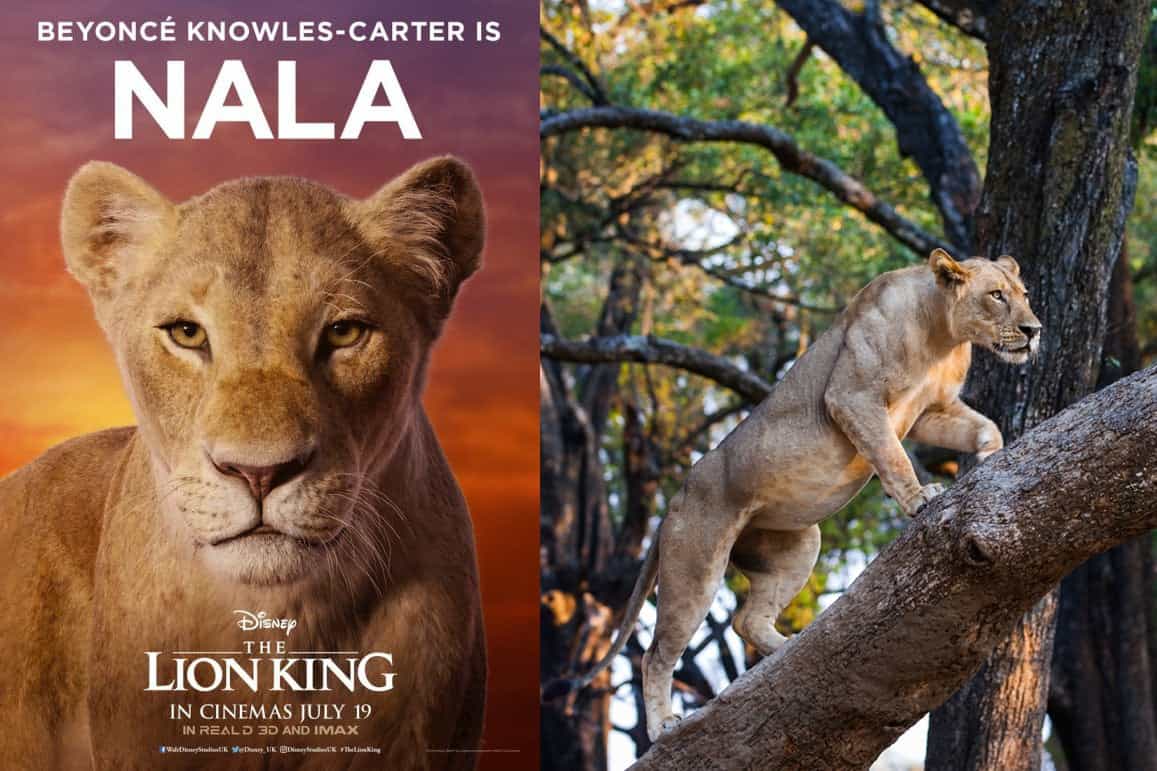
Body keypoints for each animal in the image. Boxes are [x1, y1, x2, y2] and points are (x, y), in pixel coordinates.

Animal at [550, 249, 1042, 741]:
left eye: (1024, 295)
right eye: (996, 295)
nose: (1034, 330)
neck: (942, 335)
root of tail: (676, 498)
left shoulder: (930, 412)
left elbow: (984, 427)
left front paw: (992, 458)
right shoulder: (852, 397)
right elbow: (892, 456)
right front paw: (920, 497)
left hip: (799, 544)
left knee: (745, 620)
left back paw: (788, 648)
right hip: (695, 567)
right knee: (657, 653)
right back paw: (662, 725)